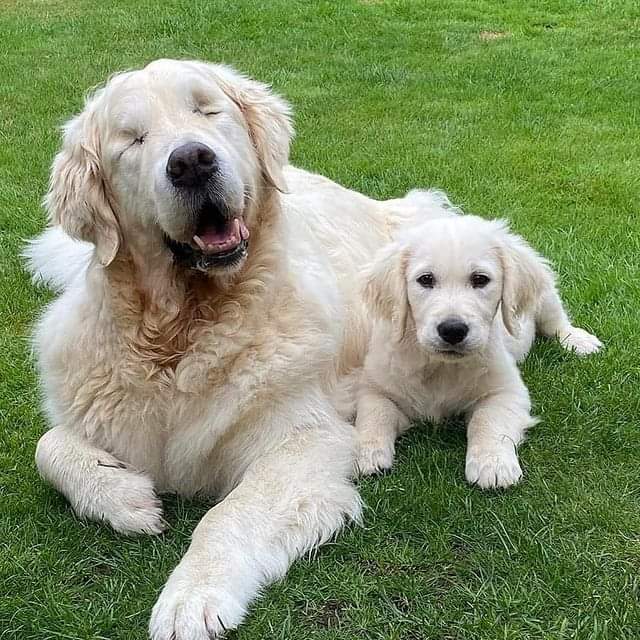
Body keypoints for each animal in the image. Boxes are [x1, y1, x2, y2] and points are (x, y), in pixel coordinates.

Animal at [23, 58, 444, 636]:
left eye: (206, 110)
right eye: (132, 139)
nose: (191, 162)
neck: (182, 333)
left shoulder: (304, 440)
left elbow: (228, 514)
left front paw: (191, 597)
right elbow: (48, 446)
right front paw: (125, 497)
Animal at [356, 212, 600, 488]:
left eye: (480, 279)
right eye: (426, 279)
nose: (452, 330)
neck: (440, 367)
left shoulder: (507, 391)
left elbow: (487, 420)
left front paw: (492, 463)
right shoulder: (374, 387)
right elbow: (374, 414)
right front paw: (364, 452)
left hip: (546, 298)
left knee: (557, 321)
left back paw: (579, 341)